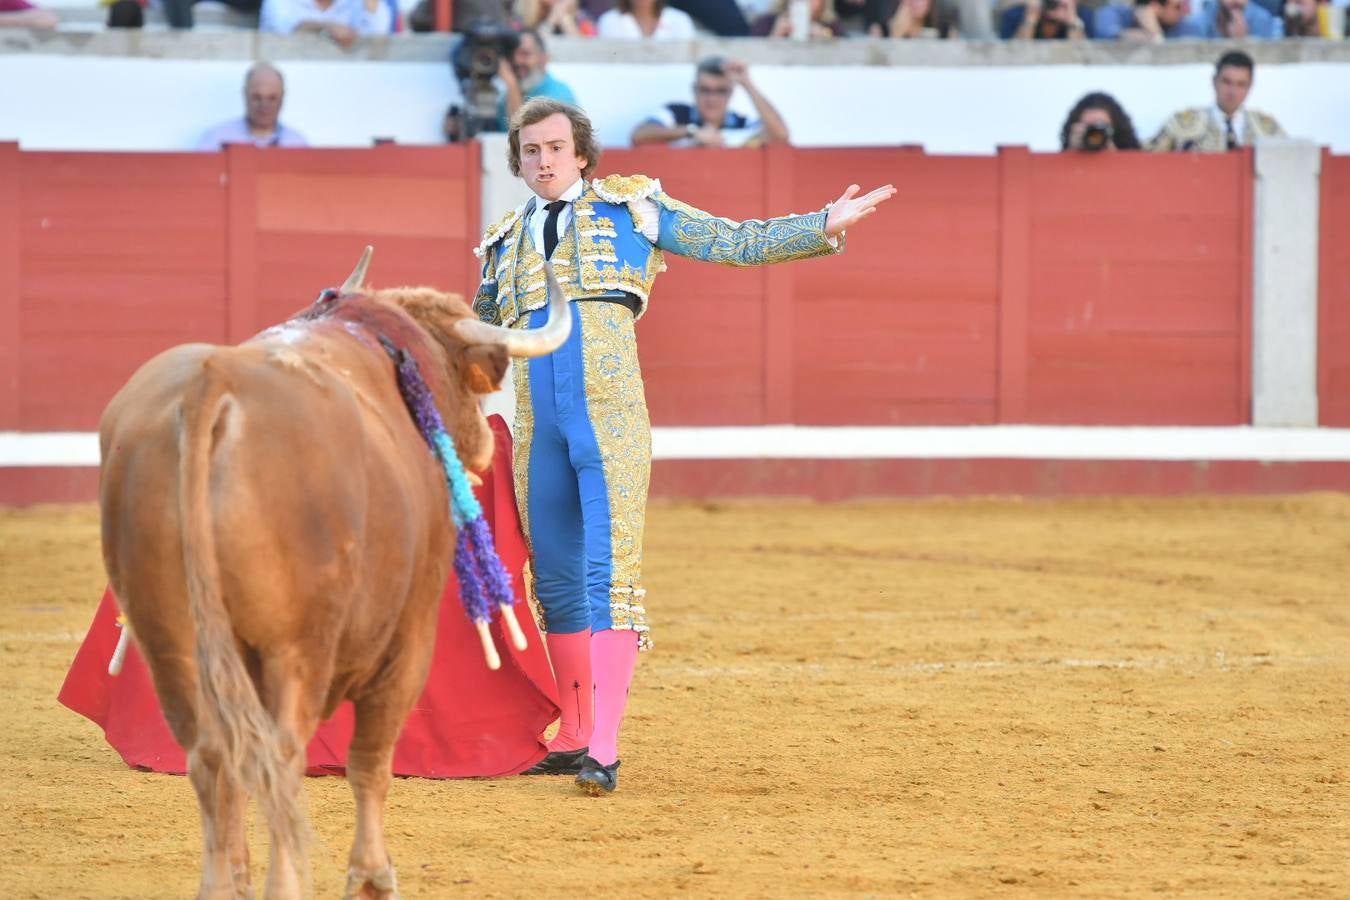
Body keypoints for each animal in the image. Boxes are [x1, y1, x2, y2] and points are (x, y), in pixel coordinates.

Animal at [97, 248, 567, 900]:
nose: (481, 447)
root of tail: (211, 386)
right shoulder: (408, 641)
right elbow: (370, 762)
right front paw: (373, 876)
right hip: (298, 646)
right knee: (280, 757)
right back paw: (286, 883)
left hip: (172, 643)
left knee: (213, 755)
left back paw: (222, 883)